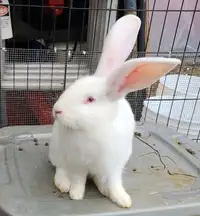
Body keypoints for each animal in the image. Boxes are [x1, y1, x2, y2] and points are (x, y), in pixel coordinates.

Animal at [48, 13, 181, 208]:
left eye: (90, 99)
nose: (57, 111)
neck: (93, 128)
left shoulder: (113, 165)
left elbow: (113, 182)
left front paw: (122, 199)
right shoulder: (78, 164)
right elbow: (78, 180)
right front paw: (76, 194)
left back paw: (103, 189)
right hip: (57, 151)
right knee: (60, 168)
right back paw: (63, 184)